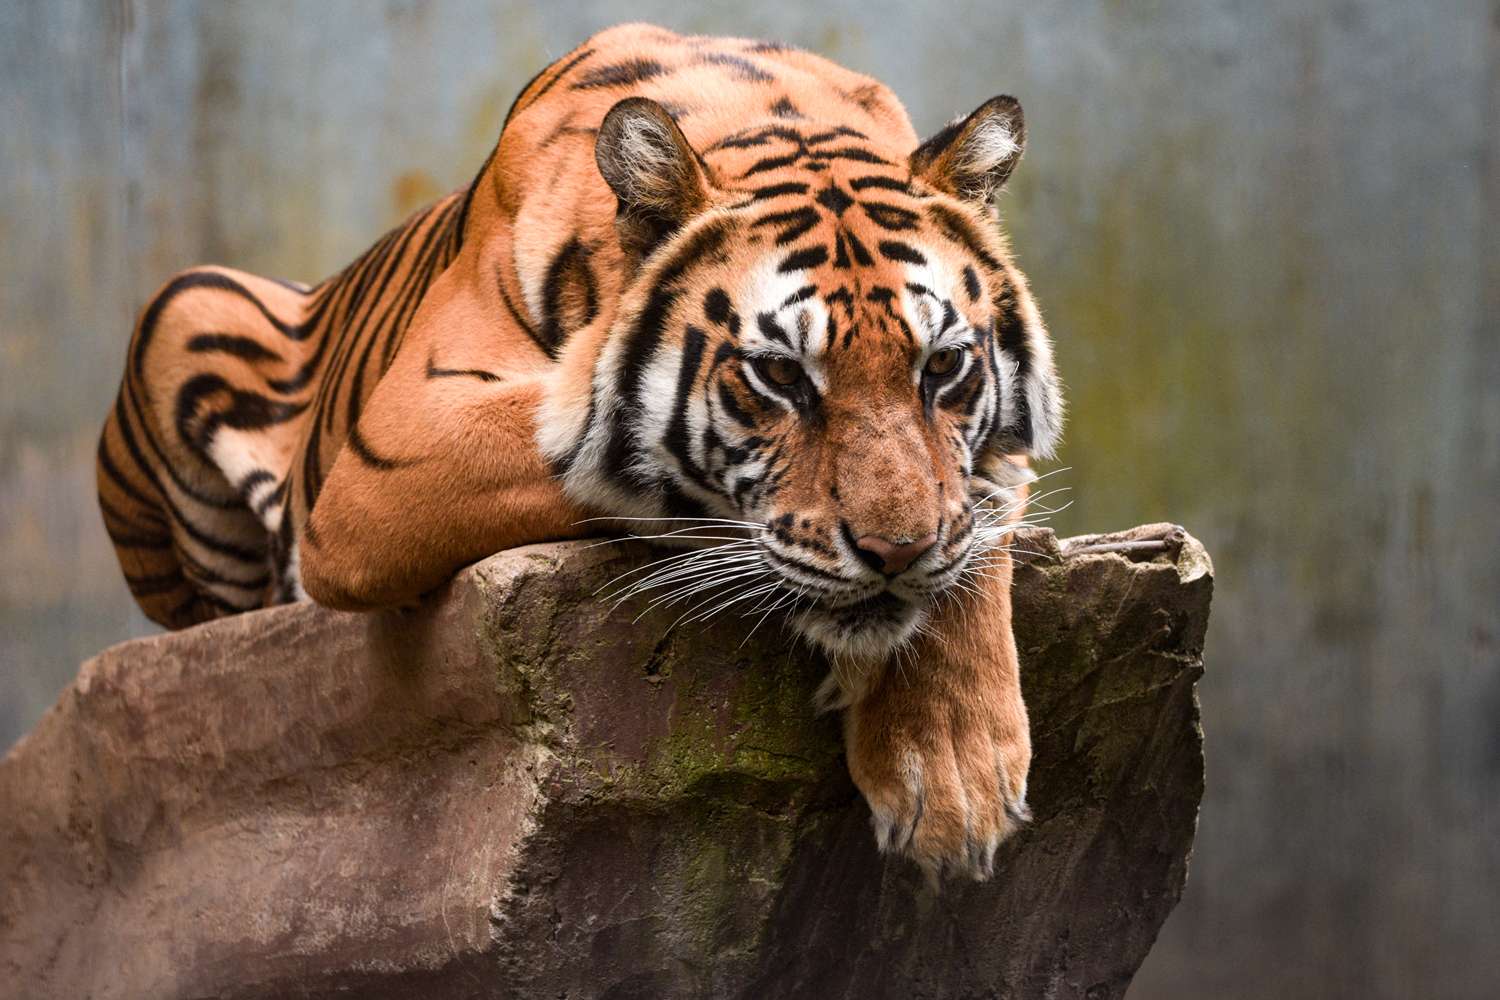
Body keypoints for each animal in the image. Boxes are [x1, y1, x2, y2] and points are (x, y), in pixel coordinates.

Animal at [97, 23, 1063, 882]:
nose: (896, 554)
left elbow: (976, 517)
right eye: (782, 375)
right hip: (189, 307)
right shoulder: (400, 445)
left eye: (942, 367)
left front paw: (952, 772)